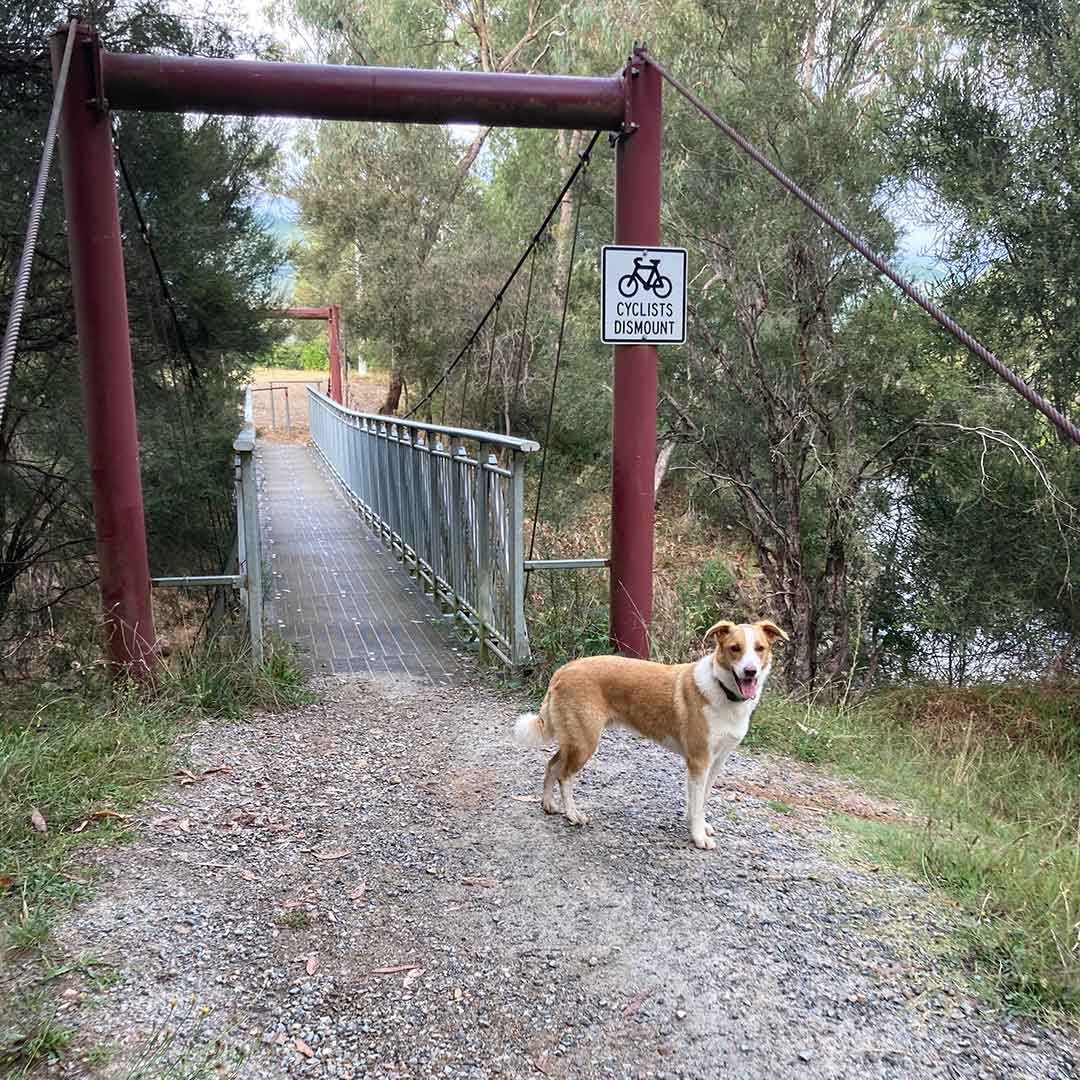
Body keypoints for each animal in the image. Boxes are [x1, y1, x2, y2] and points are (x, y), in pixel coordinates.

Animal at [509, 622, 790, 846]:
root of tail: (563, 670)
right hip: (584, 743)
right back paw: (573, 815)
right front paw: (698, 837)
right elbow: (697, 803)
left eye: (760, 648)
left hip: (573, 740)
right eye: (735, 648)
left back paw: (548, 805)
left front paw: (698, 824)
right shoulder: (699, 761)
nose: (750, 671)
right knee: (564, 776)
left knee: (551, 765)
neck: (722, 689)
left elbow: (700, 801)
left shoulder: (716, 762)